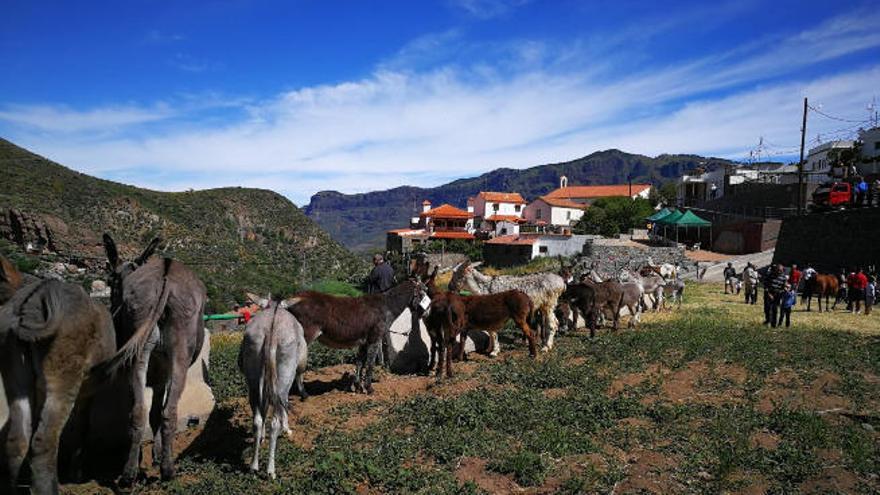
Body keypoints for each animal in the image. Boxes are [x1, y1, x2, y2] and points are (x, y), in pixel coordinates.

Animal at [0, 258, 117, 494]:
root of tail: (38, 295)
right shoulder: (86, 395)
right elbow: (82, 426)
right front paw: (76, 473)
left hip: (16, 379)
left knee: (18, 440)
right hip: (64, 378)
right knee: (43, 442)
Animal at [100, 235, 207, 484]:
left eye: (110, 280)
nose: (113, 308)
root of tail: (165, 275)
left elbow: (154, 411)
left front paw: (154, 454)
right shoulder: (161, 373)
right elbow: (157, 411)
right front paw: (157, 454)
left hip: (141, 351)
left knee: (141, 410)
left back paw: (131, 472)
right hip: (176, 351)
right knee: (164, 411)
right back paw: (163, 470)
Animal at [239, 300, 308, 478]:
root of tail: (271, 332)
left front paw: (262, 438)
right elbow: (284, 404)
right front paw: (287, 429)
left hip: (254, 377)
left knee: (257, 418)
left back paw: (254, 466)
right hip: (284, 373)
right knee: (274, 420)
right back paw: (271, 470)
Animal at [286, 280, 426, 396]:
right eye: (422, 294)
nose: (423, 314)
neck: (386, 307)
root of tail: (296, 297)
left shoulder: (363, 342)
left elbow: (359, 362)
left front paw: (358, 387)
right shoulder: (374, 339)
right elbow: (370, 364)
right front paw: (369, 388)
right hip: (306, 336)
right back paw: (301, 393)